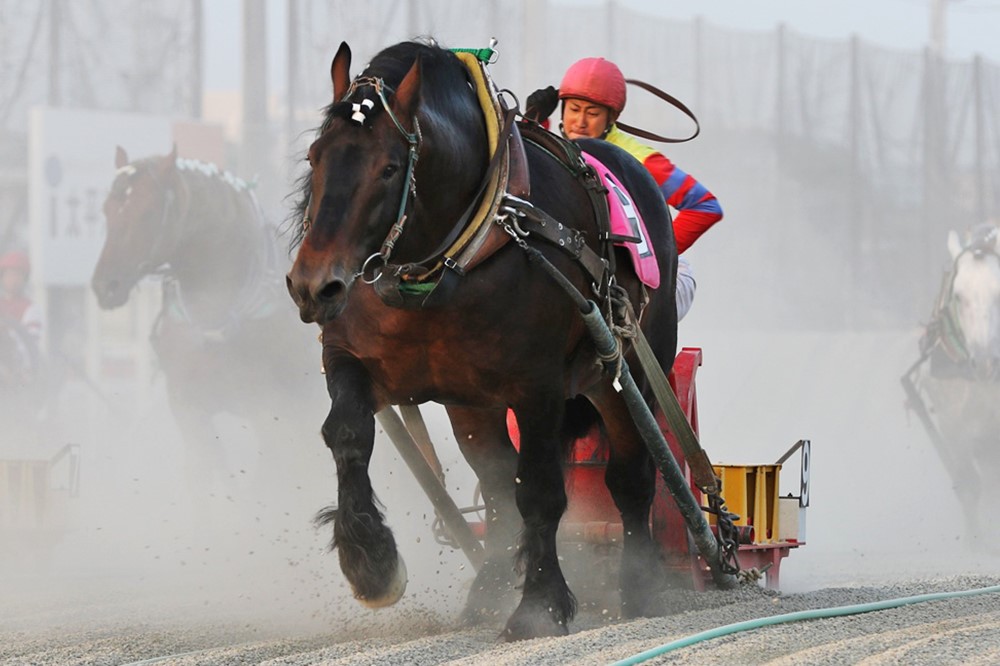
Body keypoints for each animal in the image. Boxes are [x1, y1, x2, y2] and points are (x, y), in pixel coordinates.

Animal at [288, 37, 680, 640]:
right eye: (315, 156)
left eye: (389, 167)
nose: (313, 284)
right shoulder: (350, 354)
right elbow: (349, 435)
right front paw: (370, 562)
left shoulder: (539, 384)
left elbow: (539, 488)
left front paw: (540, 603)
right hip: (474, 402)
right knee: (496, 488)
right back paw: (486, 592)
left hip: (626, 370)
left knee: (632, 474)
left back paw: (639, 587)